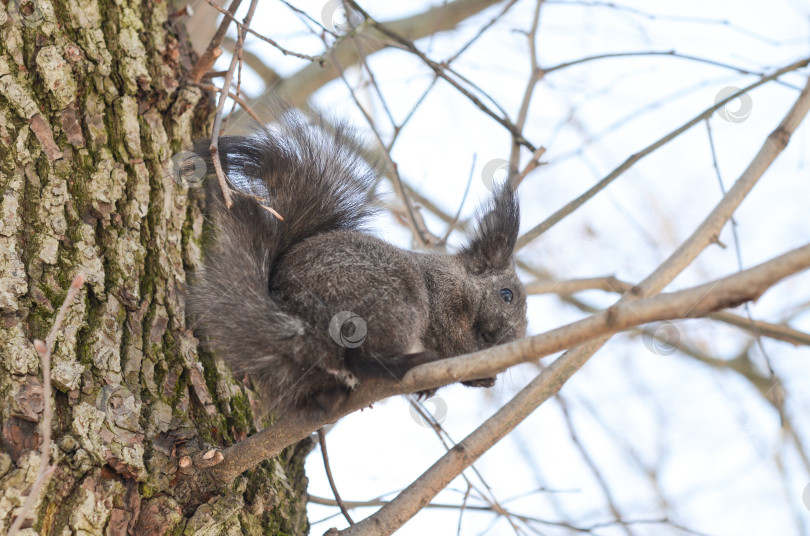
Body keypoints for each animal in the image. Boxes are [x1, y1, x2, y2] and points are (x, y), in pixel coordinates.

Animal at [188, 107, 532, 418]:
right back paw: (403, 363)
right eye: (507, 295)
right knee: (362, 358)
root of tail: (297, 317)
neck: (461, 280)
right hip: (390, 303)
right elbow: (454, 340)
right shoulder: (443, 296)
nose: (507, 341)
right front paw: (478, 370)